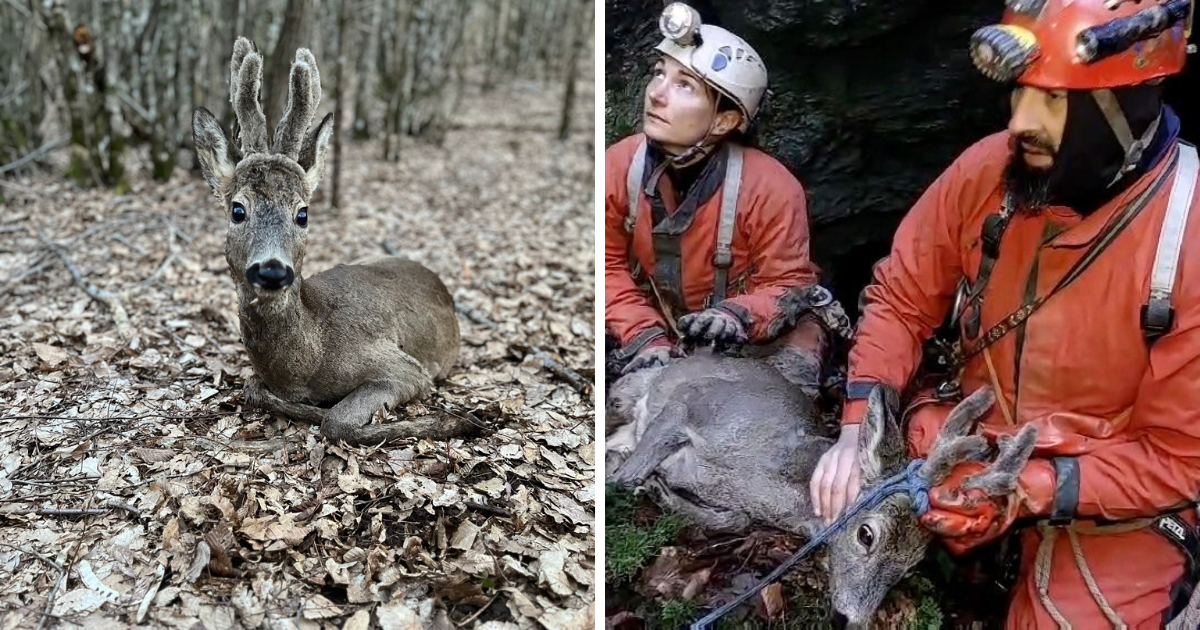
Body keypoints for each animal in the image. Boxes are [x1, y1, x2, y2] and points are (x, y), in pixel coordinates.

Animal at [189, 36, 470, 444]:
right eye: (238, 210)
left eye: (303, 213)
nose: (272, 271)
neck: (312, 358)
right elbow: (253, 388)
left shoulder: (406, 367)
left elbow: (334, 421)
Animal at [604, 352, 1036, 624]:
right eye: (866, 535)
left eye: (911, 567)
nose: (850, 619)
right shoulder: (695, 401)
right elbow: (628, 474)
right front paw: (641, 482)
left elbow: (735, 519)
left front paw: (660, 490)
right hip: (629, 390)